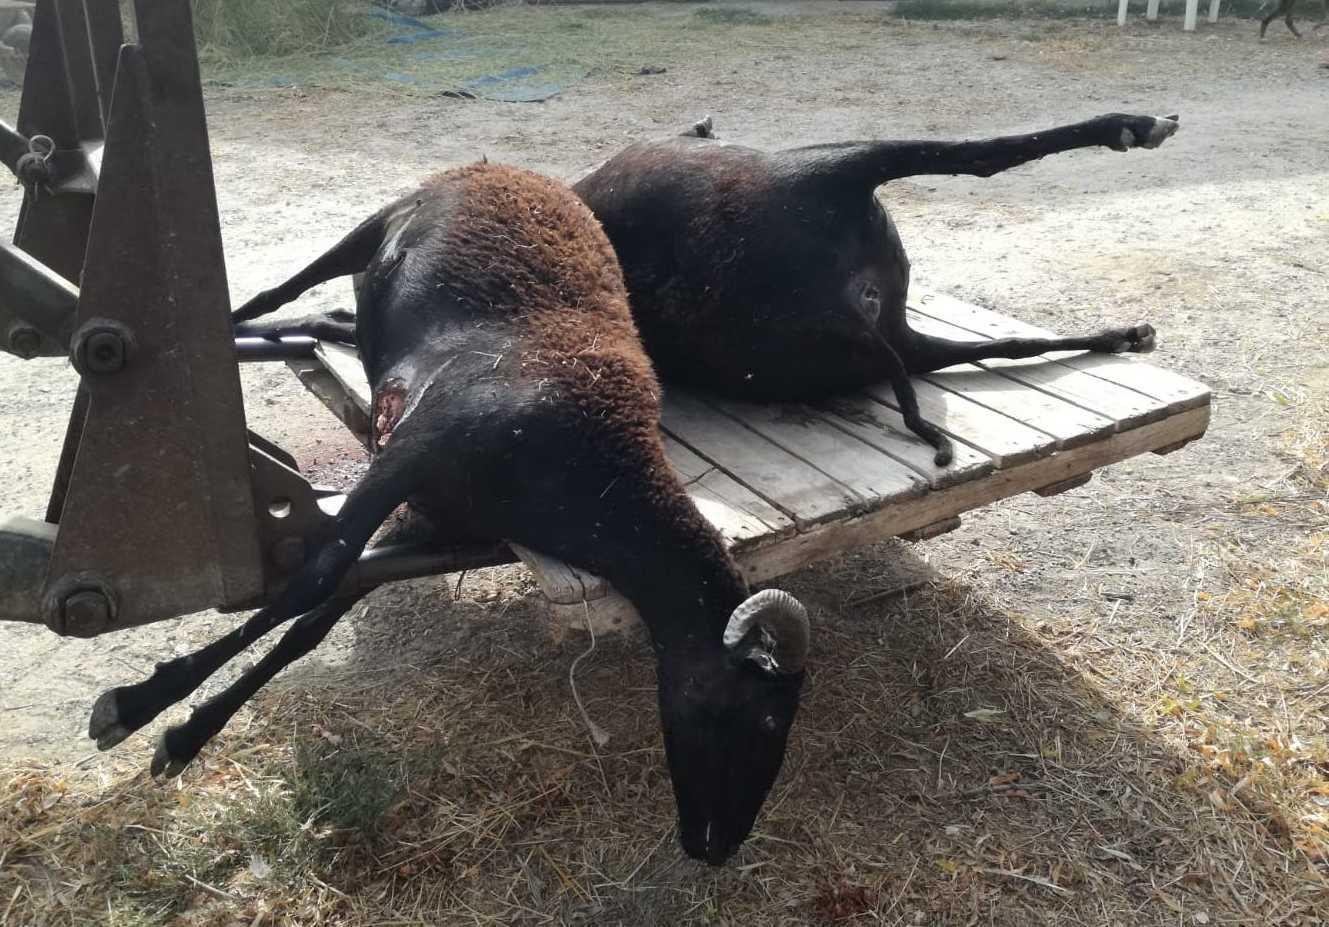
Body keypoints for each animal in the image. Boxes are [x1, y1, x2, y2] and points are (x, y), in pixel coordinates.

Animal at [89, 163, 812, 866]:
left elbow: (318, 619)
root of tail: (512, 170)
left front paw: (187, 734)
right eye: (759, 716)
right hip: (371, 226)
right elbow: (313, 578)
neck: (595, 472)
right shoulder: (412, 453)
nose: (720, 848)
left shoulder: (434, 519)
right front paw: (135, 705)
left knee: (327, 315)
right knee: (279, 293)